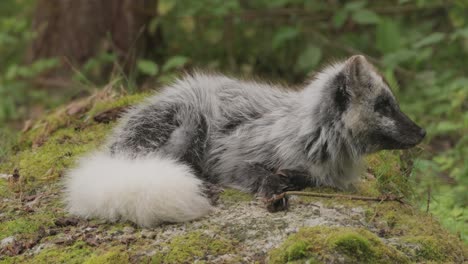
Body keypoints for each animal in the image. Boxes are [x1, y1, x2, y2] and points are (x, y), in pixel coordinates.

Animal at [64, 55, 426, 227]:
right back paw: (206, 187)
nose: (423, 132)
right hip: (188, 128)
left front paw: (291, 178)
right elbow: (261, 174)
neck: (312, 133)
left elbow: (304, 176)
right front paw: (274, 191)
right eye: (383, 106)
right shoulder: (233, 159)